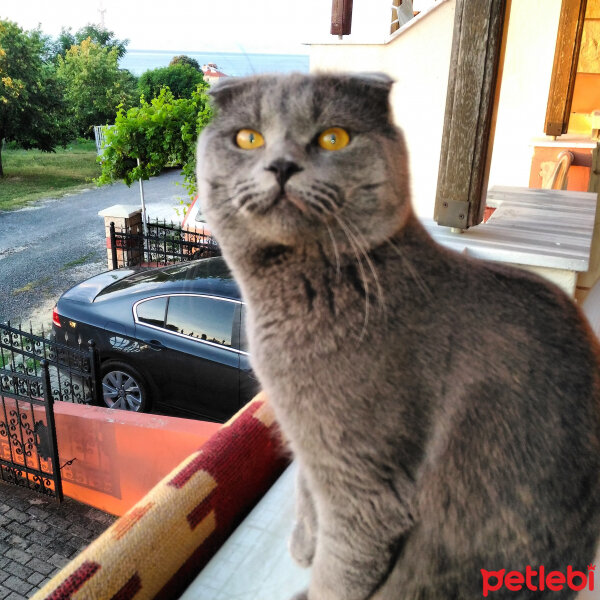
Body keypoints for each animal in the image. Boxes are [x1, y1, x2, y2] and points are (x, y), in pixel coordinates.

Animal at [197, 72, 600, 596]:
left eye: (334, 137)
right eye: (248, 138)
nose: (282, 165)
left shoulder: (364, 485)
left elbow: (339, 573)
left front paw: (313, 572)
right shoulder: (310, 441)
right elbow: (306, 489)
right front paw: (305, 544)